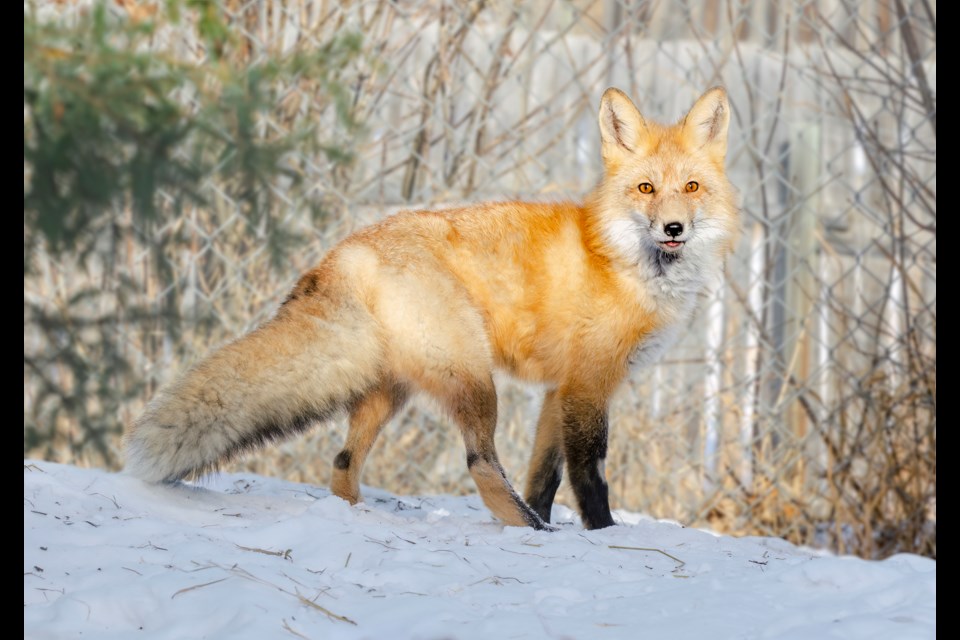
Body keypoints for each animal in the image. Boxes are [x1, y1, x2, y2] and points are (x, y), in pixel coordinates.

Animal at [125, 87, 736, 532]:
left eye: (691, 187)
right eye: (646, 188)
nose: (673, 228)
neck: (623, 262)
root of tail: (350, 249)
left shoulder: (557, 392)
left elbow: (544, 475)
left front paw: (553, 524)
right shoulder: (587, 386)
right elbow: (590, 477)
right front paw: (601, 534)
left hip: (389, 390)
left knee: (342, 463)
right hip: (473, 380)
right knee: (479, 463)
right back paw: (525, 525)